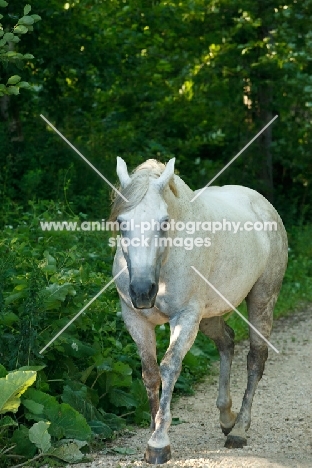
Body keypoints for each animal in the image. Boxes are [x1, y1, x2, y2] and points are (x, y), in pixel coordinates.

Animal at [111, 158, 288, 464]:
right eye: (122, 222)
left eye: (164, 222)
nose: (143, 292)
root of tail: (264, 205)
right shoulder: (135, 318)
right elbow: (150, 372)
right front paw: (152, 431)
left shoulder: (186, 317)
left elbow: (169, 367)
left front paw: (159, 443)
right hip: (210, 316)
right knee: (227, 341)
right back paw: (226, 417)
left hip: (262, 300)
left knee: (255, 359)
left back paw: (239, 429)